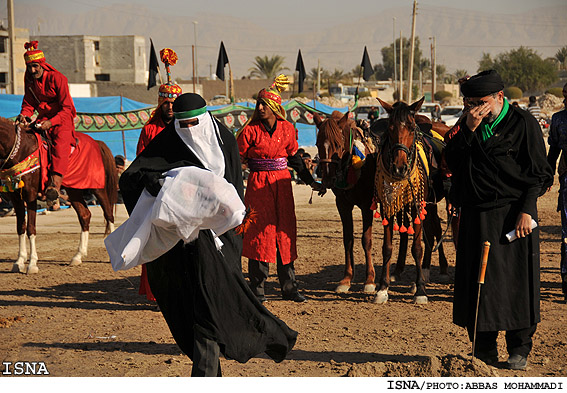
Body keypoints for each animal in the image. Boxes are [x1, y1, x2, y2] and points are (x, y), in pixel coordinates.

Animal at [0, 118, 117, 274]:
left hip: (97, 188)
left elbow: (31, 228)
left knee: (109, 214)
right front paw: (19, 261)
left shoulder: (30, 195)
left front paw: (32, 264)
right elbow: (21, 227)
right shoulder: (16, 197)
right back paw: (78, 256)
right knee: (85, 215)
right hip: (74, 190)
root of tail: (96, 142)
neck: (20, 150)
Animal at [312, 111, 380, 294]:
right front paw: (346, 279)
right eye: (317, 143)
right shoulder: (342, 205)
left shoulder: (366, 205)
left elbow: (366, 240)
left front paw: (370, 280)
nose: (328, 178)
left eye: (337, 143)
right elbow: (348, 239)